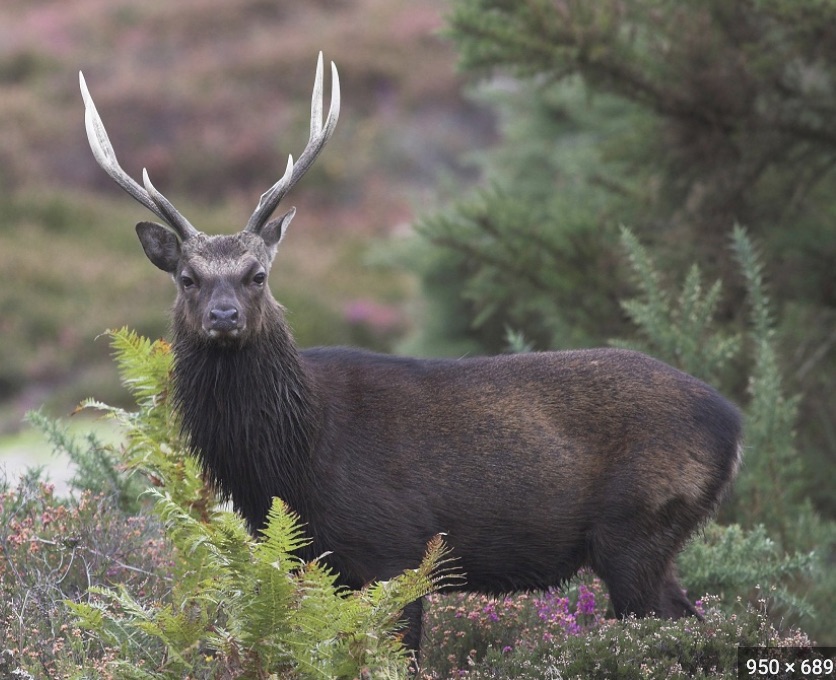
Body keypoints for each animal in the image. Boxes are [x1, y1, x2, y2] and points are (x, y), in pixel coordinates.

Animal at [79, 53, 743, 660]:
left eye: (257, 275)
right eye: (187, 278)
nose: (223, 317)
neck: (293, 460)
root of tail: (733, 423)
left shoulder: (396, 549)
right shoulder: (322, 564)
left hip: (639, 525)